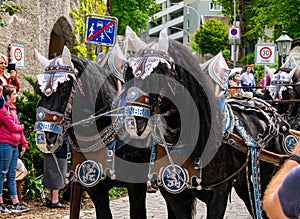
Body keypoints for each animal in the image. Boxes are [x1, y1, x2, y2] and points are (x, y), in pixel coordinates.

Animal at [123, 27, 296, 219]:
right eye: (129, 72)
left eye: (157, 72)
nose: (131, 121)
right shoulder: (175, 196)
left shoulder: (218, 195)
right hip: (245, 184)